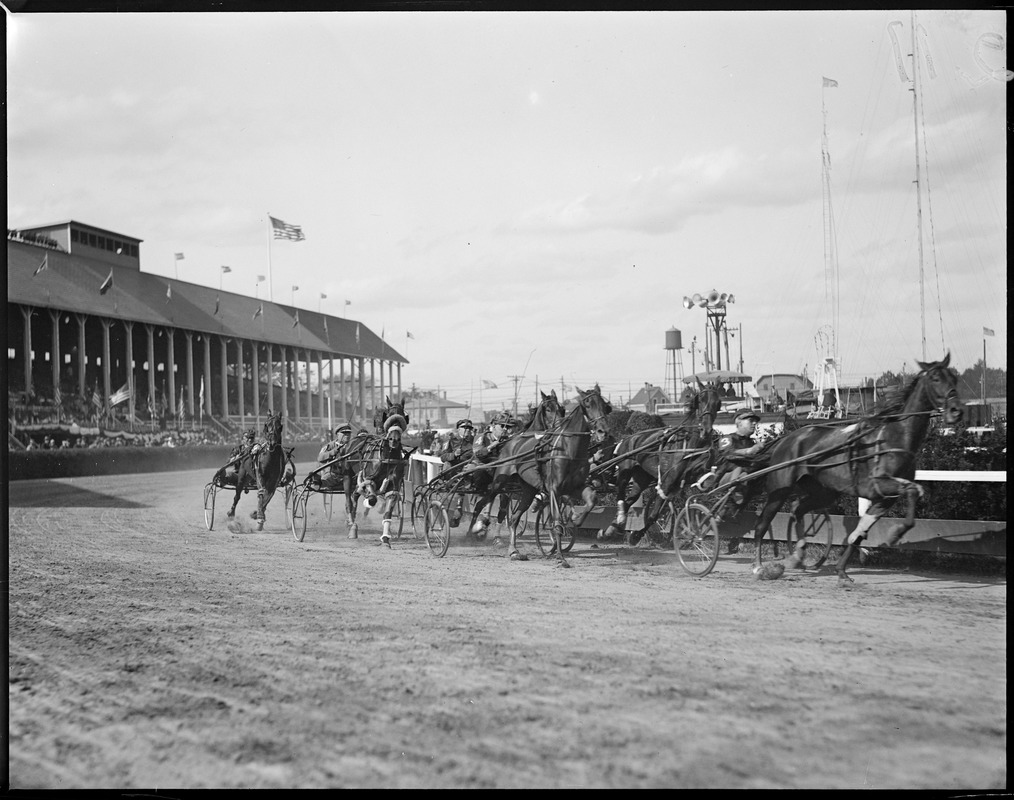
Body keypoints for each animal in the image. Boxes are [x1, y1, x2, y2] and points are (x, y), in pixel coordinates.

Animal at [488, 383, 612, 563]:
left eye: (605, 405)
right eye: (587, 405)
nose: (603, 431)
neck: (569, 450)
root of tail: (510, 442)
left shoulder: (575, 486)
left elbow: (591, 500)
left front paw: (575, 518)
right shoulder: (554, 488)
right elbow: (556, 521)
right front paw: (560, 556)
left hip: (528, 489)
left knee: (515, 517)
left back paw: (514, 550)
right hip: (500, 480)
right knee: (487, 498)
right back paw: (478, 527)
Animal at [596, 379, 726, 543]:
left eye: (718, 403)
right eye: (701, 400)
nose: (706, 430)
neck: (690, 442)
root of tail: (627, 438)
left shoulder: (685, 478)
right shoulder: (667, 481)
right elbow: (654, 514)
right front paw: (636, 535)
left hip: (642, 477)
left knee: (630, 498)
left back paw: (611, 529)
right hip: (626, 469)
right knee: (621, 493)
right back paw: (616, 522)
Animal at [750, 352, 961, 584]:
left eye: (954, 378)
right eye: (935, 378)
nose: (956, 411)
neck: (895, 436)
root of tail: (786, 438)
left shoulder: (884, 497)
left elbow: (861, 531)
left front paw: (842, 570)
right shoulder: (880, 484)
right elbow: (912, 490)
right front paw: (895, 534)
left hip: (824, 492)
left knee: (798, 509)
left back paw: (798, 554)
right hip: (779, 491)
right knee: (761, 525)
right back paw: (759, 567)